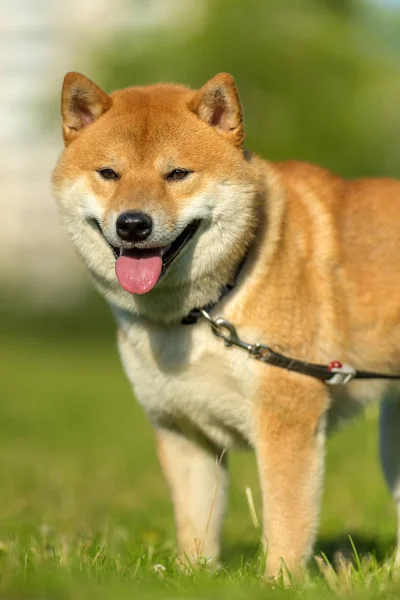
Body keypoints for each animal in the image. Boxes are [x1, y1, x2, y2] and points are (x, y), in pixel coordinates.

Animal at [54, 72, 400, 580]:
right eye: (109, 174)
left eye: (177, 174)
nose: (133, 224)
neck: (203, 311)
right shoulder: (183, 431)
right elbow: (196, 526)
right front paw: (192, 577)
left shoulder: (287, 422)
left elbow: (286, 522)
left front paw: (279, 583)